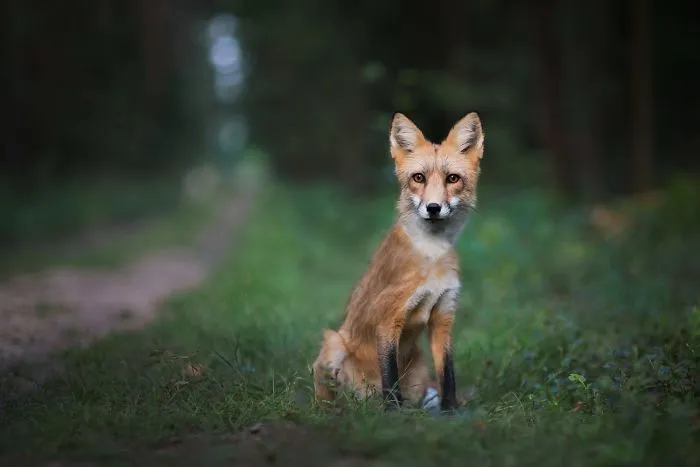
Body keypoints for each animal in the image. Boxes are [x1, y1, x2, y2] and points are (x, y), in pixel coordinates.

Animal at [311, 111, 485, 412]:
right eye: (419, 177)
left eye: (453, 178)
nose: (433, 208)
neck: (432, 257)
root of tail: (362, 399)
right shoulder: (388, 318)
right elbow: (389, 376)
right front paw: (392, 412)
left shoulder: (443, 316)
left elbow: (448, 374)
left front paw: (450, 411)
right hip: (334, 343)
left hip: (419, 368)